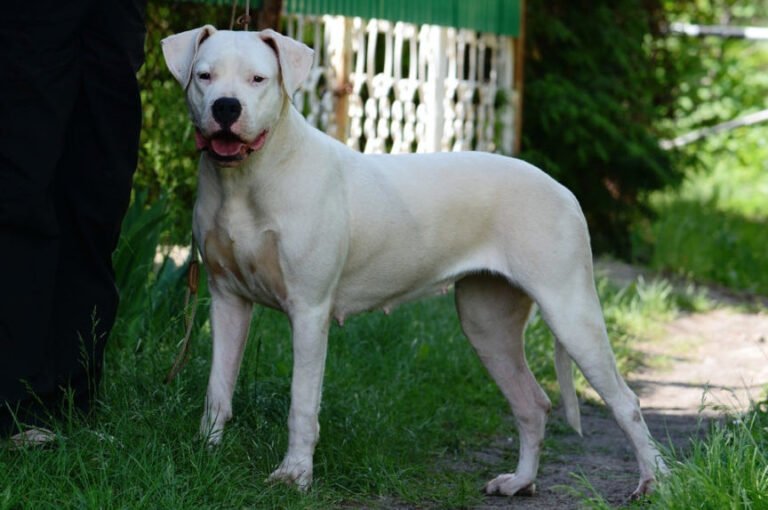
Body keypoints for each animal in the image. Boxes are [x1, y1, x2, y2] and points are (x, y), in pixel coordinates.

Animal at [160, 26, 664, 498]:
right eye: (204, 76)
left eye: (258, 79)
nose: (226, 108)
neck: (248, 180)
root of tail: (563, 190)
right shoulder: (227, 300)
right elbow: (218, 388)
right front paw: (205, 454)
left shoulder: (308, 310)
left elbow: (301, 404)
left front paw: (294, 475)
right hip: (487, 323)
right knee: (531, 403)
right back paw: (520, 482)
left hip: (570, 310)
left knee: (625, 402)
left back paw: (654, 483)